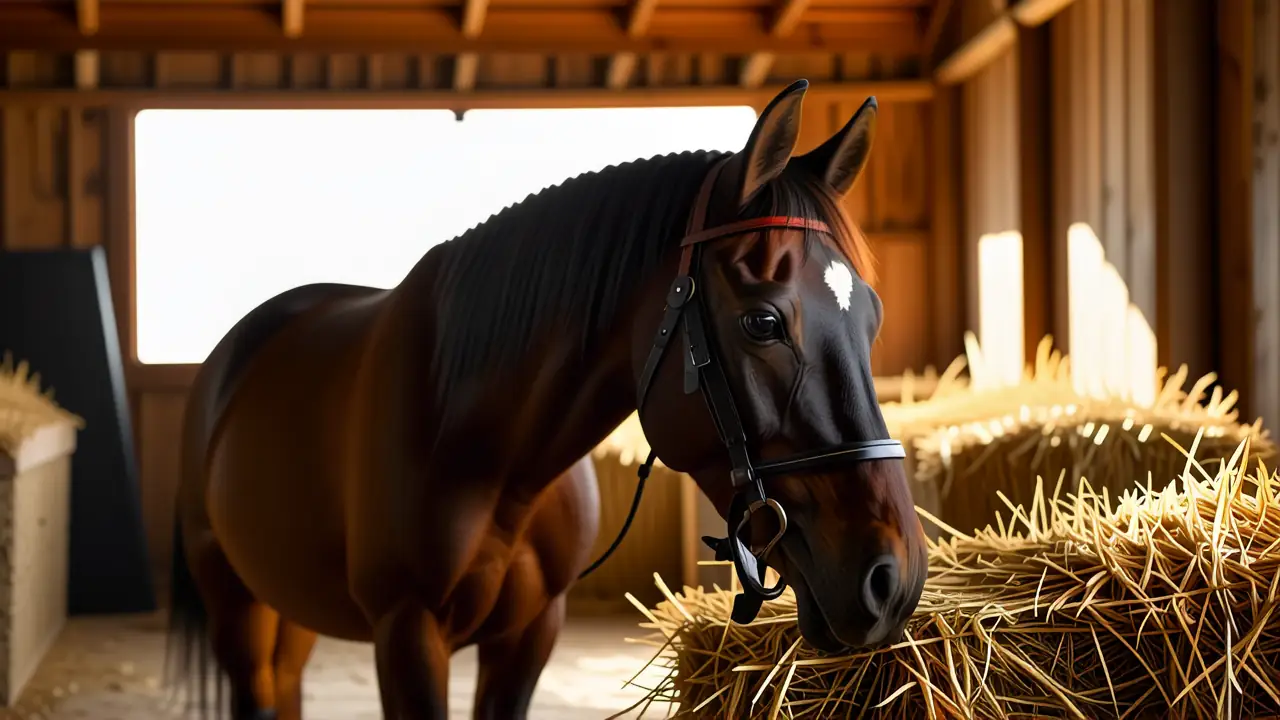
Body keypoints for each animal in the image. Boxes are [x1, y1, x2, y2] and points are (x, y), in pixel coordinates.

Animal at [164, 78, 928, 720]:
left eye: (873, 319)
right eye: (764, 322)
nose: (893, 580)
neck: (485, 445)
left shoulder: (531, 634)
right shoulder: (406, 633)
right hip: (236, 605)